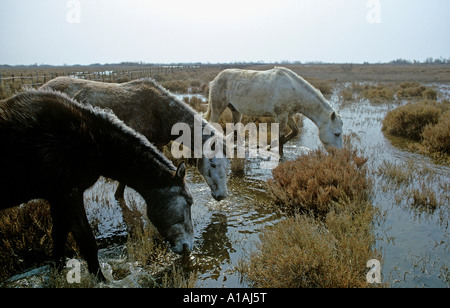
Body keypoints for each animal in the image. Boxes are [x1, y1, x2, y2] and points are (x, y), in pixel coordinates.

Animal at [0, 88, 192, 280]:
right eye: (189, 201)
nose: (188, 247)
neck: (94, 142)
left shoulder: (56, 198)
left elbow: (58, 239)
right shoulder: (70, 195)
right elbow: (88, 243)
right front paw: (101, 279)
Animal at [206, 67, 342, 154]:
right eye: (337, 134)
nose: (338, 154)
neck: (294, 90)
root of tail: (215, 80)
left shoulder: (288, 115)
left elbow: (295, 131)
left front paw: (268, 147)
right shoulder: (281, 116)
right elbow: (281, 138)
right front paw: (278, 154)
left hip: (236, 111)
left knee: (235, 130)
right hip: (217, 108)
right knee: (213, 125)